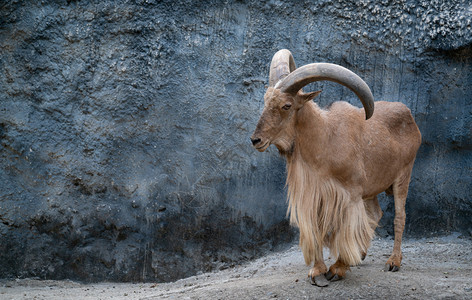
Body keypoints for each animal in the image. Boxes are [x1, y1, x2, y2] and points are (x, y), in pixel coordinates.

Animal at [251, 49, 420, 286]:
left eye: (286, 105)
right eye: (266, 101)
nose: (256, 140)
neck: (326, 139)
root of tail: (409, 115)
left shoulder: (349, 195)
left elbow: (346, 229)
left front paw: (338, 268)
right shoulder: (314, 196)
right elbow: (317, 230)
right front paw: (318, 271)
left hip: (403, 175)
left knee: (399, 216)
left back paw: (393, 261)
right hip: (371, 189)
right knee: (376, 214)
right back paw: (360, 255)